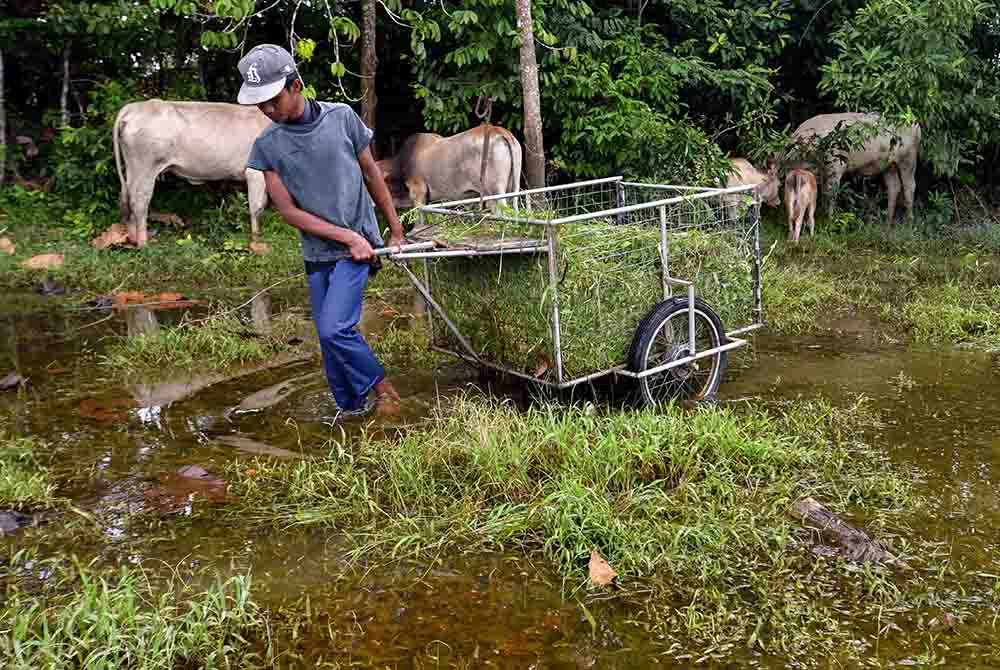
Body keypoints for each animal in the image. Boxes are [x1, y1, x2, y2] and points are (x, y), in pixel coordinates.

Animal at [112, 100, 274, 247]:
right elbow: (256, 208)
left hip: (133, 169)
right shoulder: (255, 172)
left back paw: (133, 239)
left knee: (127, 199)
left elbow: (263, 204)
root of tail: (134, 107)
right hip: (145, 168)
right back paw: (143, 243)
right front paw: (256, 241)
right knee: (139, 202)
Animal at [780, 111, 920, 224]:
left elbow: (831, 192)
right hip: (888, 165)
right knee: (894, 186)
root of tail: (915, 124)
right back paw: (887, 222)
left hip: (908, 158)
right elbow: (824, 191)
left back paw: (909, 223)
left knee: (909, 186)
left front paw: (830, 220)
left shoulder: (836, 164)